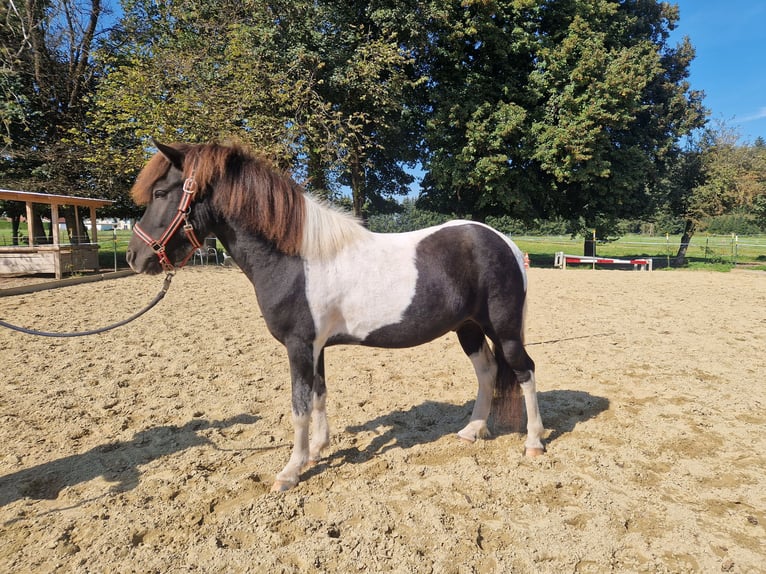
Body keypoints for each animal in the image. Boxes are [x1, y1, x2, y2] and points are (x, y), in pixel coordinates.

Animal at [126, 142, 544, 492]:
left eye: (161, 193)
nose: (135, 257)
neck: (296, 258)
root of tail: (505, 243)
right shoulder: (316, 346)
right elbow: (320, 395)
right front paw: (316, 451)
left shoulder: (298, 346)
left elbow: (299, 406)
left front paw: (290, 471)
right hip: (468, 329)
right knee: (488, 371)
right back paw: (472, 430)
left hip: (504, 330)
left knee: (524, 371)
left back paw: (534, 442)